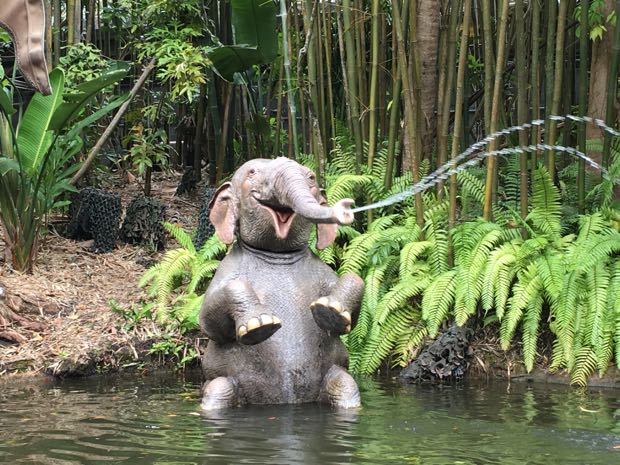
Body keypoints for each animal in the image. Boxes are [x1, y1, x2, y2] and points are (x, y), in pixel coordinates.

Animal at [200, 157, 364, 410]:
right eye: (252, 172)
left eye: (311, 177)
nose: (346, 209)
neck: (278, 255)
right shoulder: (225, 271)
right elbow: (209, 322)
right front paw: (260, 324)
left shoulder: (323, 272)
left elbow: (353, 298)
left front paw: (330, 311)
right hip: (221, 384)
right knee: (217, 392)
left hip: (335, 377)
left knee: (345, 385)